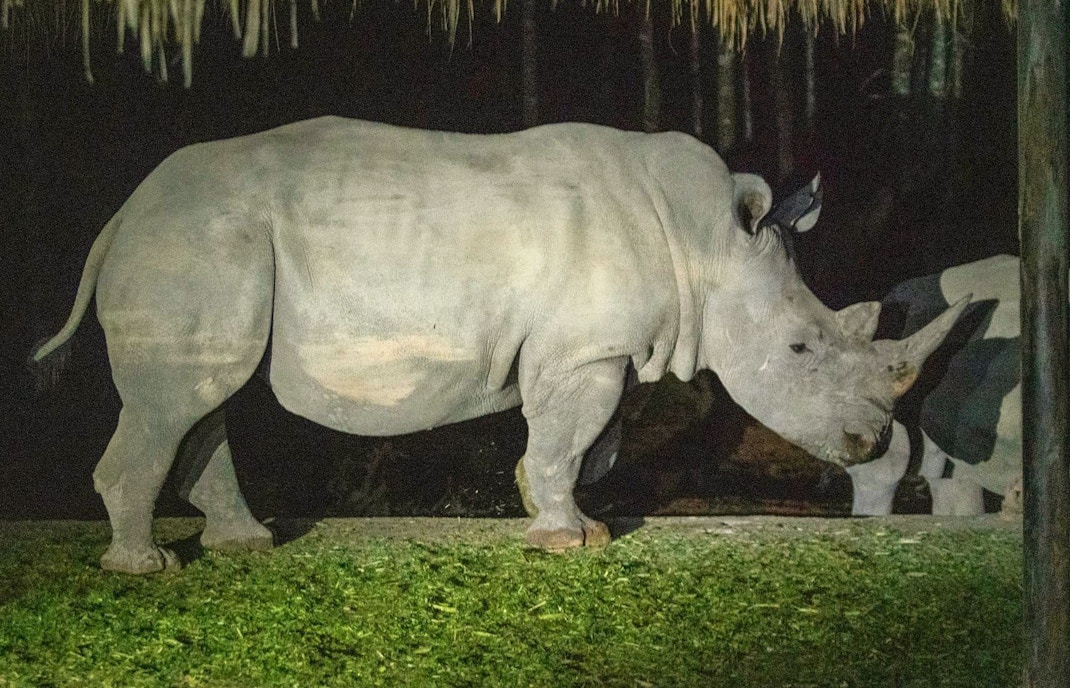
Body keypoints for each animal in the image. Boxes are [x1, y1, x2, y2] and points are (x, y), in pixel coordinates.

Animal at [30, 117, 966, 574]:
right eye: (804, 350)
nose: (871, 441)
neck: (706, 244)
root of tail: (123, 211)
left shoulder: (593, 345)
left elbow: (587, 438)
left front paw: (558, 515)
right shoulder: (585, 349)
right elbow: (572, 433)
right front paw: (563, 542)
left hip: (211, 246)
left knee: (204, 398)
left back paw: (245, 547)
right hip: (197, 243)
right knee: (181, 400)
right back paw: (144, 569)